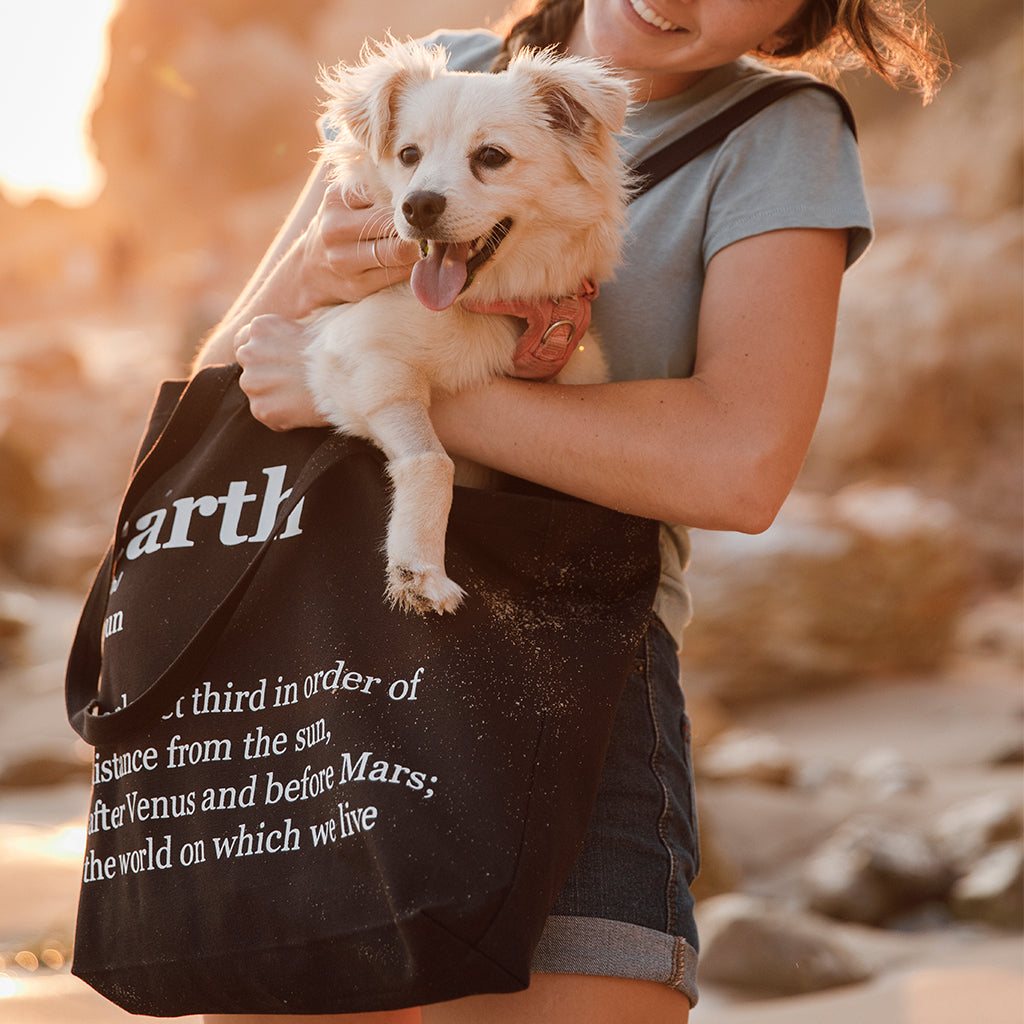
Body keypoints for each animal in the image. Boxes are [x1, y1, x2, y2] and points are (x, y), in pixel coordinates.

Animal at [303, 37, 626, 614]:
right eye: (409, 155)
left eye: (491, 157)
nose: (417, 205)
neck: (488, 307)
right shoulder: (363, 362)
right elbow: (433, 462)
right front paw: (420, 568)